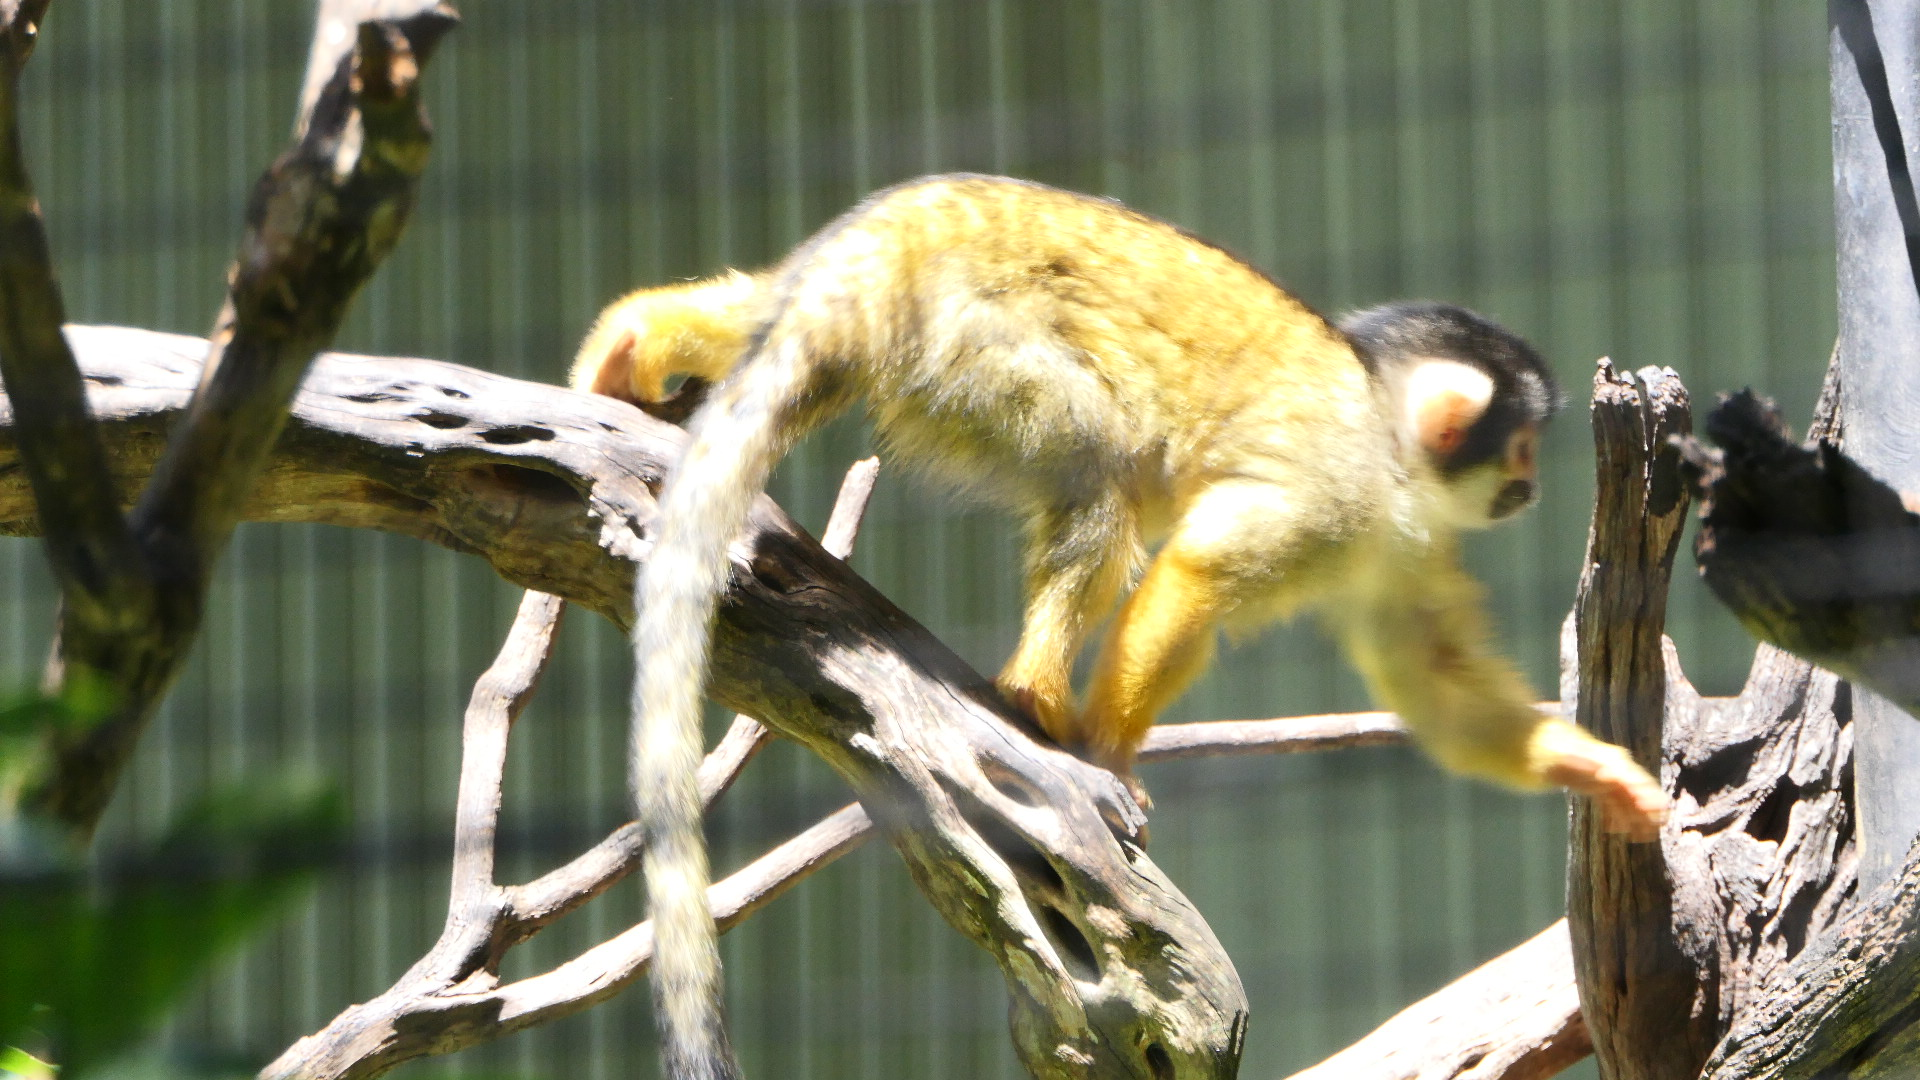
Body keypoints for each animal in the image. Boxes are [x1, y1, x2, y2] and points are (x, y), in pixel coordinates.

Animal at [578, 173, 1671, 1080]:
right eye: (1519, 446)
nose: (1530, 487)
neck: (1390, 439)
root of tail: (877, 260)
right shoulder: (1338, 485)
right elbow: (1201, 569)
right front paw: (1108, 751)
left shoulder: (1398, 537)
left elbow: (1431, 678)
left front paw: (1599, 775)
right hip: (964, 345)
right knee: (1100, 473)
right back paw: (1033, 700)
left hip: (841, 307)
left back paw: (636, 341)